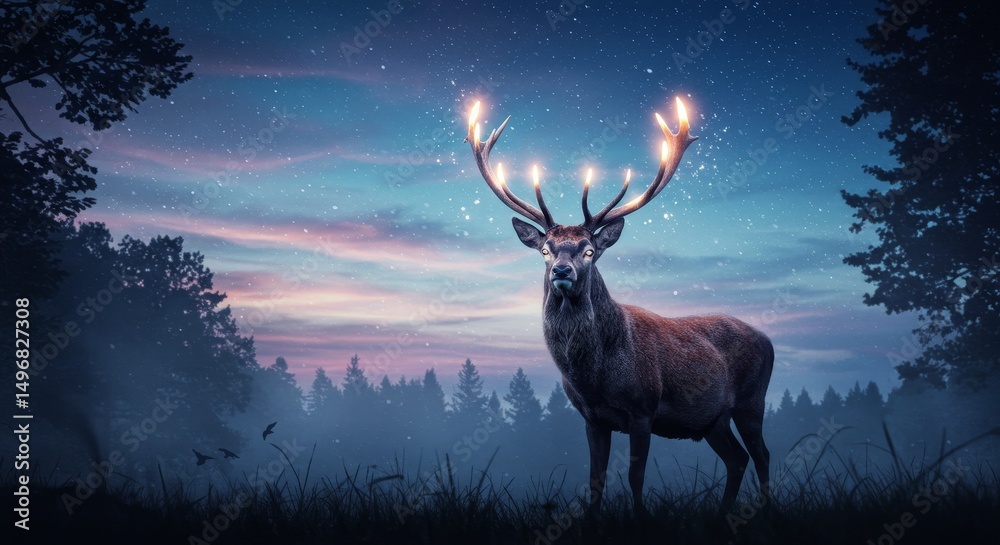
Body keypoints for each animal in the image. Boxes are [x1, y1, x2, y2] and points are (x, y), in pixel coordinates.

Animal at [464, 97, 774, 515]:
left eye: (589, 250)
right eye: (545, 250)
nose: (562, 270)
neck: (594, 377)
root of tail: (768, 340)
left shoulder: (643, 410)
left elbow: (635, 476)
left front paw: (640, 517)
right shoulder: (592, 418)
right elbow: (596, 479)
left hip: (751, 401)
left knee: (762, 455)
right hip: (713, 420)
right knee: (737, 459)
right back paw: (724, 513)